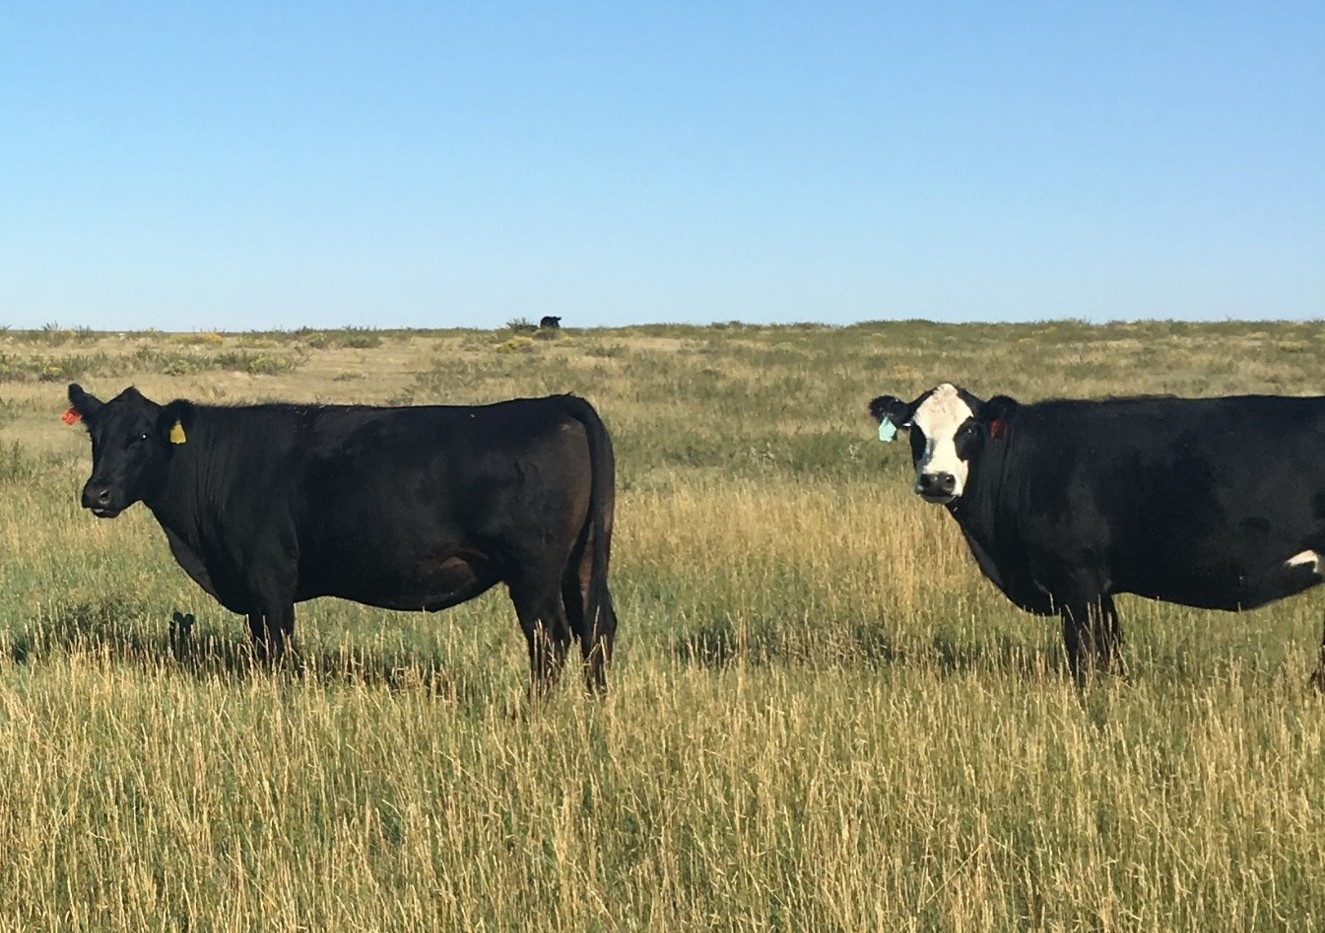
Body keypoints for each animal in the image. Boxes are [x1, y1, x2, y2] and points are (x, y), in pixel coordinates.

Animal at [65, 383, 618, 694]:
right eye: (96, 435)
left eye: (141, 436)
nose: (97, 493)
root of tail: (555, 405)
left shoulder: (269, 578)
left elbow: (277, 647)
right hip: (583, 560)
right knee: (598, 629)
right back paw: (595, 707)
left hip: (534, 571)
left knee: (552, 638)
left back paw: (537, 713)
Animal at [869, 382, 1325, 688]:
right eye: (915, 430)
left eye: (970, 429)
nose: (937, 480)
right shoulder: (1099, 586)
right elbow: (1111, 649)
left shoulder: (1077, 576)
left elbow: (1085, 654)